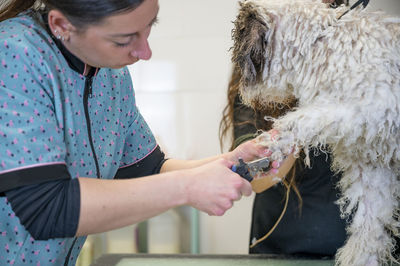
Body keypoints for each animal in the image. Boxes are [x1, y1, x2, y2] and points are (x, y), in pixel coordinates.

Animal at [231, 0, 400, 266]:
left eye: (239, 39)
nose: (240, 90)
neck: (320, 46)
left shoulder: (372, 106)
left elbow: (307, 118)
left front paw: (279, 140)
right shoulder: (372, 164)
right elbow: (370, 221)